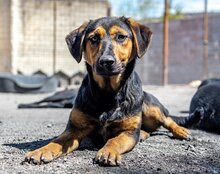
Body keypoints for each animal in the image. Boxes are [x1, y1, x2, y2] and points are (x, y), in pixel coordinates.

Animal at [23, 17, 189, 167]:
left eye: (121, 37)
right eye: (94, 38)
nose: (106, 61)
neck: (108, 93)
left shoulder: (128, 132)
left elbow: (114, 140)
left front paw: (108, 151)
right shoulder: (75, 129)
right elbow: (57, 141)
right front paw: (41, 150)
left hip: (151, 107)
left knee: (168, 120)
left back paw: (181, 131)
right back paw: (143, 133)